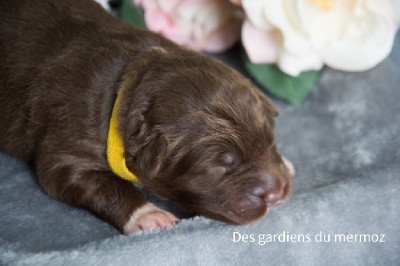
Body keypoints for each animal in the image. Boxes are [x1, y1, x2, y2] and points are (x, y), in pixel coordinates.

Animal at [0, 0, 294, 234]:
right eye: (224, 165)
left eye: (270, 140)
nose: (276, 192)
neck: (126, 84)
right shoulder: (70, 137)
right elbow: (92, 180)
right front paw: (149, 215)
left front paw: (287, 163)